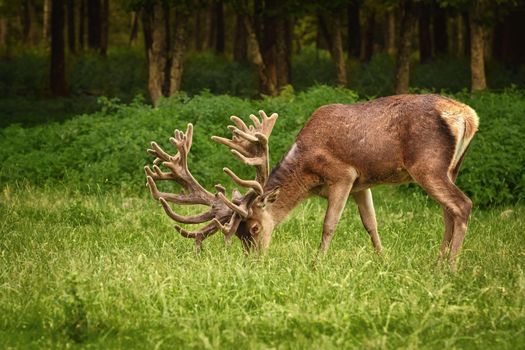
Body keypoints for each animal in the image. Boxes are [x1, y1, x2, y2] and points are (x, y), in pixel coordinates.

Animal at [144, 94, 478, 272]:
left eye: (254, 228)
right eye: (238, 234)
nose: (254, 262)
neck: (306, 172)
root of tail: (468, 115)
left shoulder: (344, 175)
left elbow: (329, 224)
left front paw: (317, 263)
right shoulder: (363, 184)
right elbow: (371, 224)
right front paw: (383, 260)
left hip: (427, 165)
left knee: (462, 205)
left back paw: (450, 267)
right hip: (451, 168)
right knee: (448, 211)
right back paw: (438, 261)